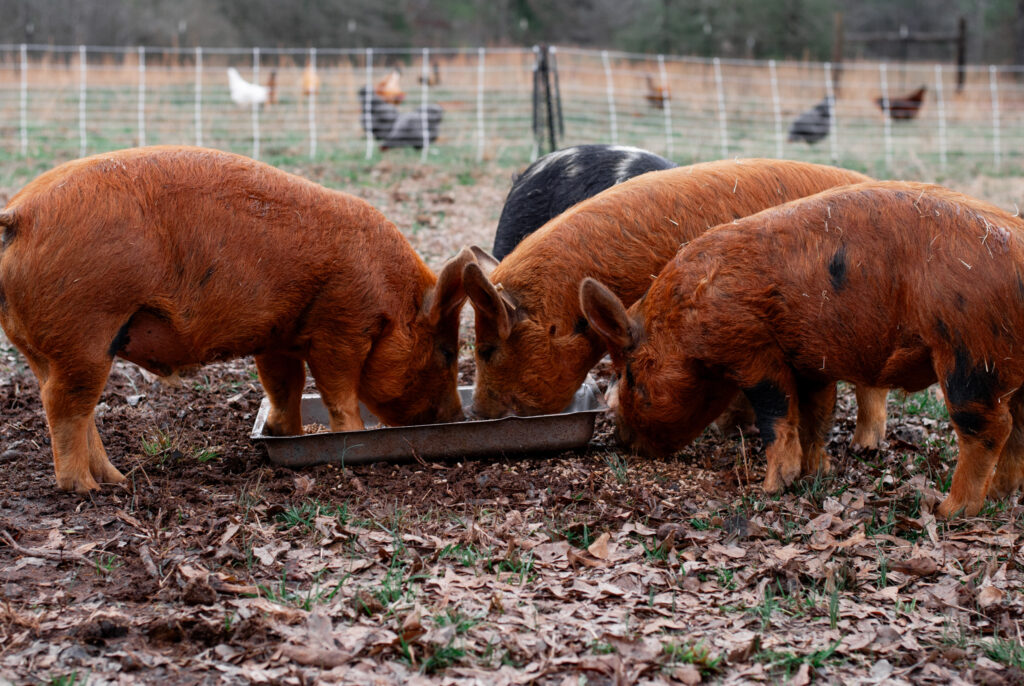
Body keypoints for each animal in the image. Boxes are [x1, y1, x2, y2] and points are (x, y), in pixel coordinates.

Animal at [0, 149, 471, 495]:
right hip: (85, 330)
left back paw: (117, 479)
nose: (457, 419)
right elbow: (339, 390)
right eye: (447, 351)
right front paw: (350, 439)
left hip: (50, 347)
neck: (389, 296)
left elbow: (284, 385)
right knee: (64, 405)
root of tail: (18, 214)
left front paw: (287, 434)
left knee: (74, 406)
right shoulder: (340, 328)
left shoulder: (278, 337)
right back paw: (88, 489)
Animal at [581, 180, 1024, 518]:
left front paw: (771, 488)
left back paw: (948, 511)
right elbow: (816, 415)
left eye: (628, 375)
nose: (623, 442)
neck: (682, 325)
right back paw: (999, 496)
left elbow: (776, 415)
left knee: (987, 428)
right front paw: (816, 473)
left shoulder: (754, 350)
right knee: (1016, 426)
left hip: (970, 353)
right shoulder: (811, 361)